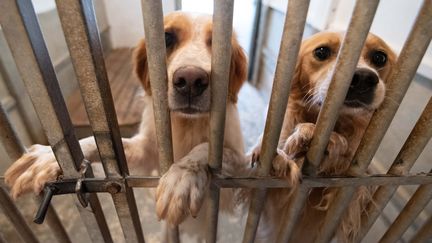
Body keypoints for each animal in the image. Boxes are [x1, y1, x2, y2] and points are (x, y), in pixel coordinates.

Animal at [3, 11, 248, 232]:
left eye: (220, 44)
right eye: (167, 38)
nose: (190, 81)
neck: (187, 124)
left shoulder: (239, 165)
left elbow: (206, 149)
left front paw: (182, 176)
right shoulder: (146, 152)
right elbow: (95, 143)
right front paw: (49, 158)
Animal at [251, 31, 396, 241]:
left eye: (379, 57)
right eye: (321, 52)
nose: (363, 78)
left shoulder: (348, 203)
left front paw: (331, 146)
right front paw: (288, 153)